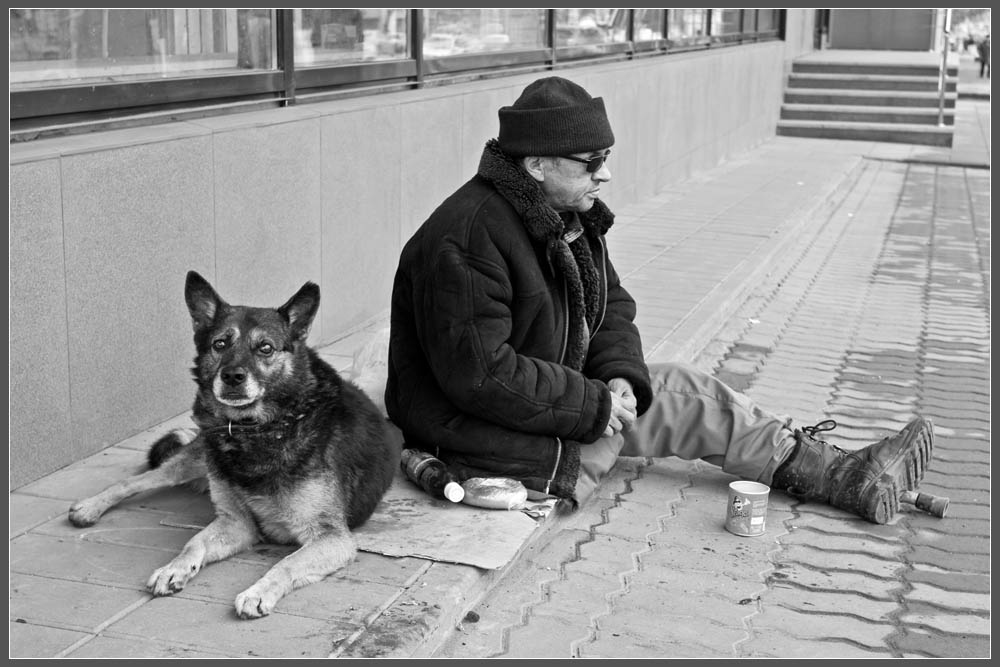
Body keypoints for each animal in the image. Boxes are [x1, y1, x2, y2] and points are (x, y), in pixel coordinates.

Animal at [67, 272, 402, 620]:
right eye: (220, 344)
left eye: (265, 348)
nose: (232, 377)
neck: (260, 429)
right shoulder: (236, 522)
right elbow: (194, 543)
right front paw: (174, 568)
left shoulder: (331, 537)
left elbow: (286, 563)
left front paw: (258, 592)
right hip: (198, 458)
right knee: (136, 480)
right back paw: (90, 507)